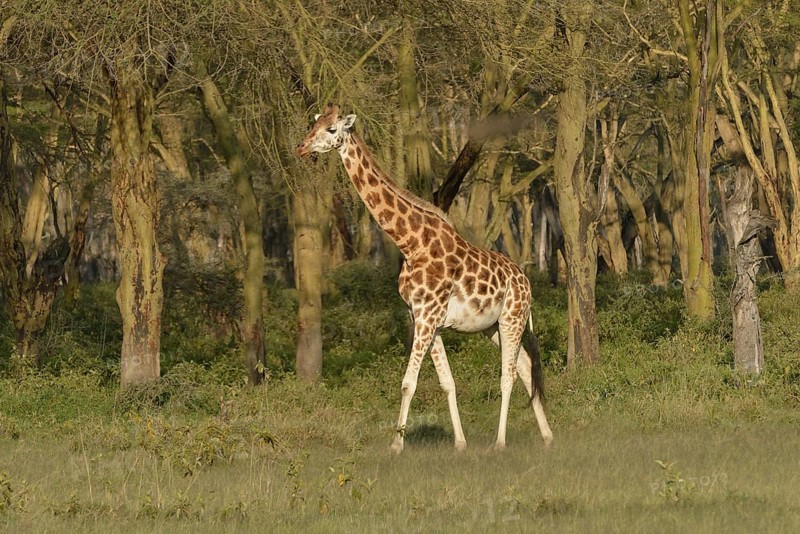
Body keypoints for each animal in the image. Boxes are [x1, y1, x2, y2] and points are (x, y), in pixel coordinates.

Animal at [296, 104, 553, 452]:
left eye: (332, 129)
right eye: (314, 123)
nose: (301, 147)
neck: (410, 243)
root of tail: (527, 282)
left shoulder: (428, 316)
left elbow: (408, 382)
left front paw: (396, 445)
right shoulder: (422, 317)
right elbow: (447, 382)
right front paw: (460, 443)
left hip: (512, 318)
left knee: (508, 374)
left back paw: (500, 442)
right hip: (491, 326)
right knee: (526, 366)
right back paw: (547, 435)